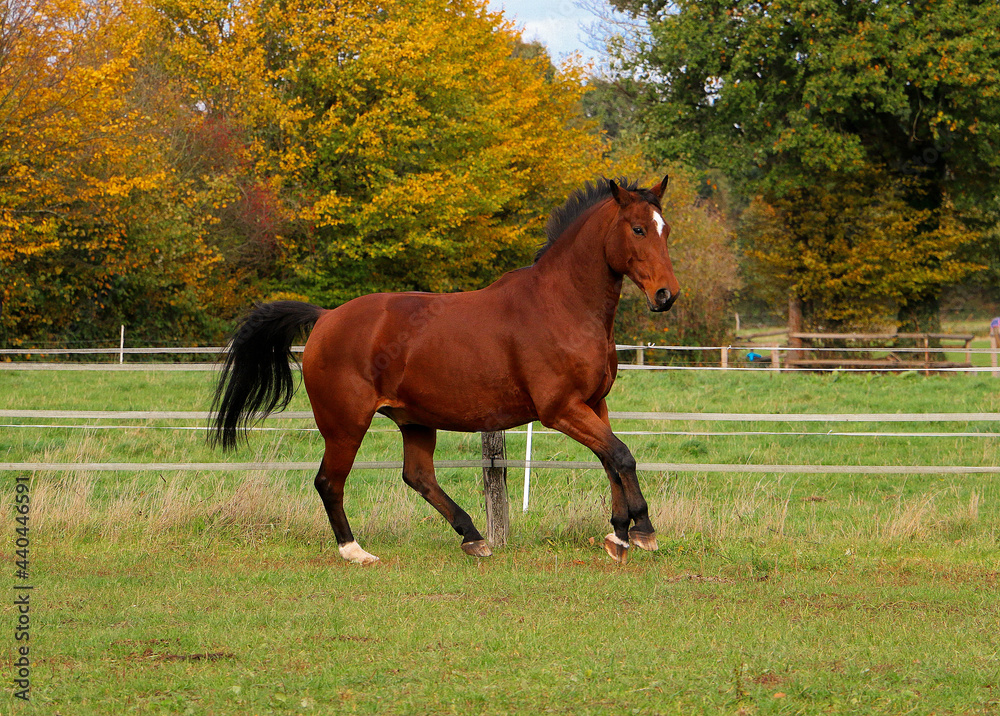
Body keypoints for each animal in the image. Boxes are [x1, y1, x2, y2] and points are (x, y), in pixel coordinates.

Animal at [210, 176, 680, 564]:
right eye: (638, 229)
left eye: (666, 230)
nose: (666, 295)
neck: (562, 305)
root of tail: (325, 318)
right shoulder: (561, 410)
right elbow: (621, 455)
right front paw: (642, 530)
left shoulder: (595, 404)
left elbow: (611, 460)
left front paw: (618, 535)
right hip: (345, 424)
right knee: (330, 482)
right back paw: (355, 551)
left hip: (415, 420)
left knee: (418, 476)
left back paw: (473, 536)